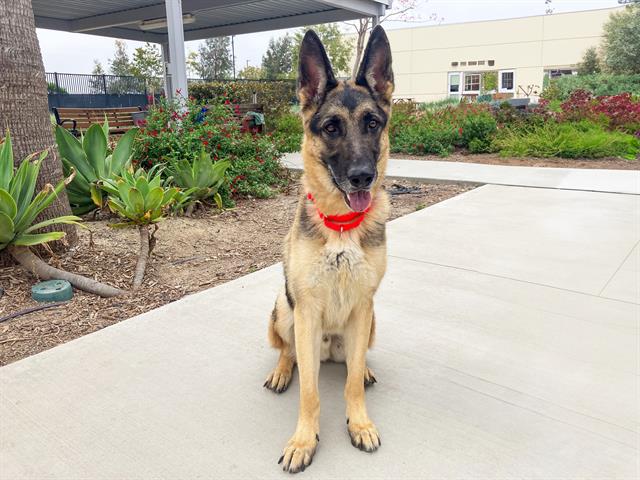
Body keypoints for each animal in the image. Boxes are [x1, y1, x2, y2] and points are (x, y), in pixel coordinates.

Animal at [262, 25, 392, 472]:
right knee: (289, 353)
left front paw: (360, 423)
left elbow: (350, 383)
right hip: (284, 311)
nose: (362, 177)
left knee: (355, 360)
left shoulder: (365, 304)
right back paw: (283, 371)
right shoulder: (307, 310)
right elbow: (310, 393)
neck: (341, 227)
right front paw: (304, 441)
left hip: (370, 322)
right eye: (331, 128)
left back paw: (365, 369)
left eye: (372, 123)